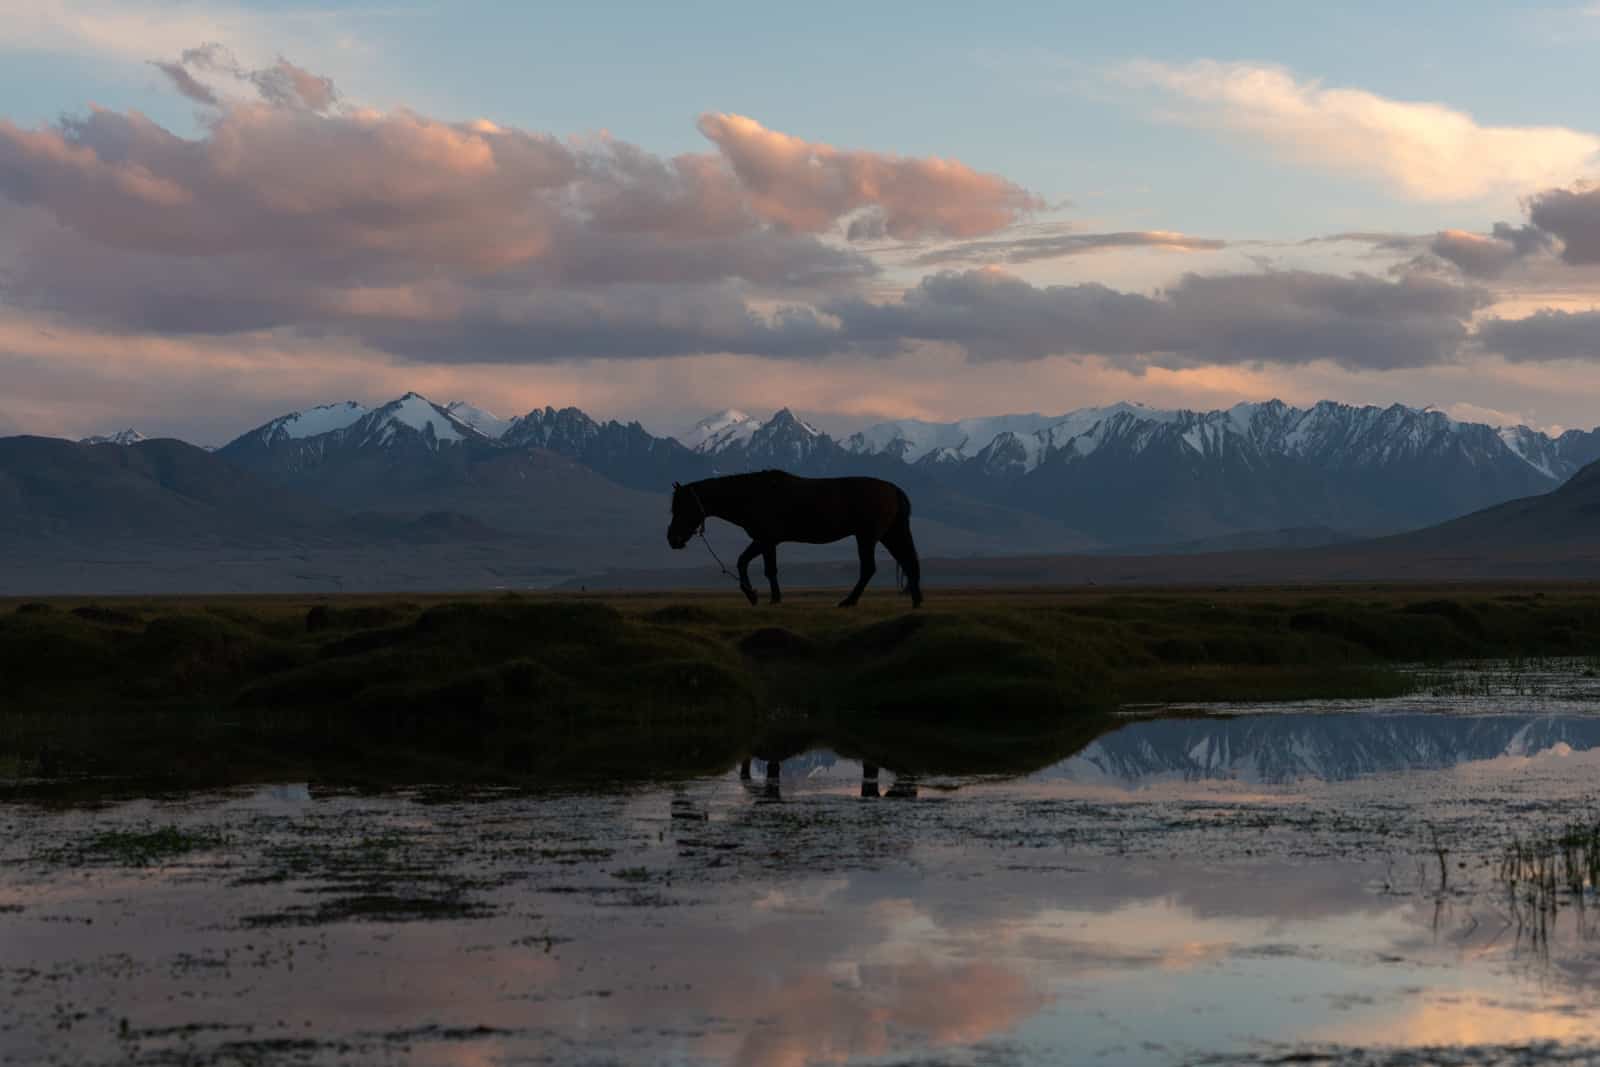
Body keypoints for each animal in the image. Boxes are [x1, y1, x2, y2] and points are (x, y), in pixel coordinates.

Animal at [668, 470, 928, 607]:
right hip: (890, 534)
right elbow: (743, 562)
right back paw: (915, 602)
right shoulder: (764, 540)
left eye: (682, 507)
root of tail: (894, 490)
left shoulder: (766, 540)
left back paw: (849, 601)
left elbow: (768, 569)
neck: (752, 495)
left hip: (867, 536)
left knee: (870, 568)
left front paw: (772, 599)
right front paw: (753, 595)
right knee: (909, 562)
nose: (673, 539)